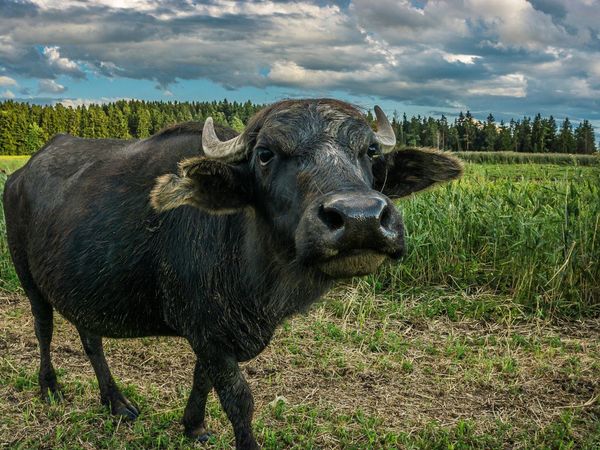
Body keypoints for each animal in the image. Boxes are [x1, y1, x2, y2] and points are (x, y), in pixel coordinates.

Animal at [3, 99, 460, 450]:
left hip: (84, 285)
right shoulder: (207, 330)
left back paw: (115, 401)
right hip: (28, 277)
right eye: (265, 153)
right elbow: (238, 399)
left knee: (91, 338)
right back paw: (50, 387)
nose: (359, 218)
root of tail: (20, 174)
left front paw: (193, 426)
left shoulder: (213, 332)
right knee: (44, 328)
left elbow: (203, 378)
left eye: (370, 151)